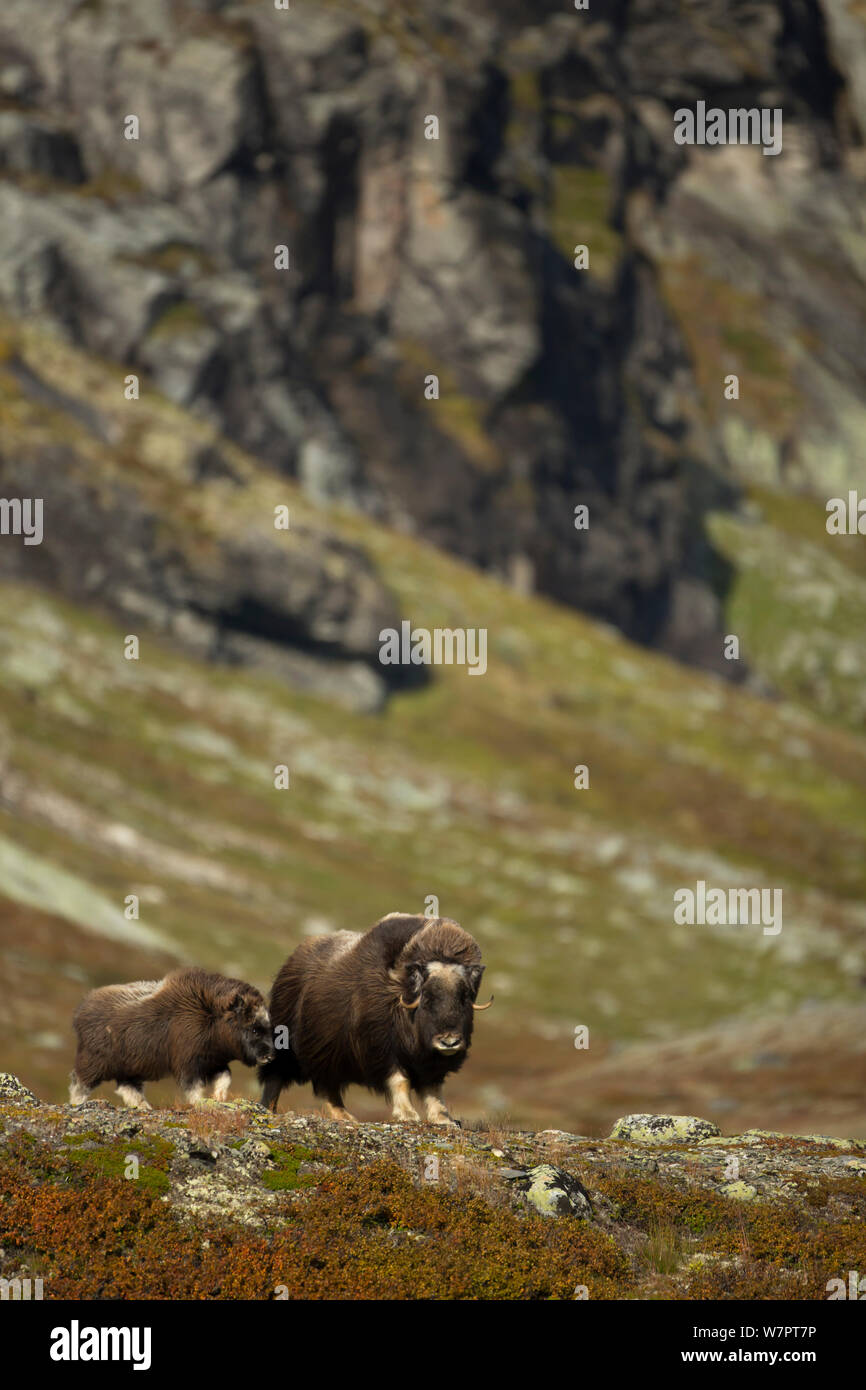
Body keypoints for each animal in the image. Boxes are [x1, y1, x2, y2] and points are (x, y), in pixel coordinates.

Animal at [70, 967, 273, 1106]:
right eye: (254, 1029)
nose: (270, 1056)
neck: (210, 1017)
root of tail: (81, 1011)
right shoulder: (189, 1063)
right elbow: (193, 1087)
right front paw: (199, 1103)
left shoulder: (214, 1061)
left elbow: (225, 1077)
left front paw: (219, 1097)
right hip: (94, 1063)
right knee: (79, 1084)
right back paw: (76, 1104)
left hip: (128, 1069)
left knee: (128, 1087)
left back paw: (145, 1107)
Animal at [258, 911, 494, 1128]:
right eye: (427, 997)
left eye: (464, 997)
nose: (449, 1042)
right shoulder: (382, 1049)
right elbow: (400, 1080)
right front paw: (407, 1115)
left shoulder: (430, 1063)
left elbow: (433, 1088)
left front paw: (444, 1118)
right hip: (291, 1045)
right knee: (284, 1078)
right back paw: (272, 1108)